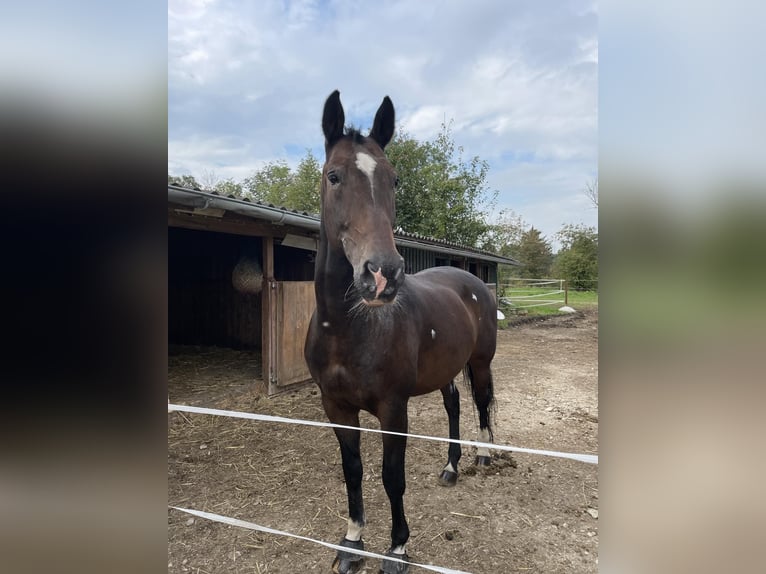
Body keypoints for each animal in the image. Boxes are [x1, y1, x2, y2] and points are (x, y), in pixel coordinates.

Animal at [306, 91, 498, 574]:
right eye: (333, 175)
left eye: (393, 180)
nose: (383, 275)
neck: (348, 330)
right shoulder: (336, 407)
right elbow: (353, 471)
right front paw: (352, 543)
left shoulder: (394, 410)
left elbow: (392, 476)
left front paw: (397, 549)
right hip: (446, 369)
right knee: (453, 405)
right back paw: (451, 467)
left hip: (480, 363)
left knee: (481, 404)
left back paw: (485, 454)